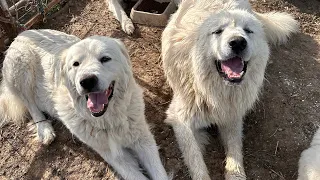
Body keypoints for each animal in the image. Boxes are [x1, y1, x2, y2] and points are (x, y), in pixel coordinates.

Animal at [0, 29, 170, 180]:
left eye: (105, 59)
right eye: (76, 64)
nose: (87, 81)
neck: (108, 120)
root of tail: (22, 33)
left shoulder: (143, 140)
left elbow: (159, 173)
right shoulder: (113, 155)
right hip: (20, 67)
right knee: (30, 104)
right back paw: (45, 129)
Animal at [161, 0, 298, 179]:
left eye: (248, 30)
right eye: (218, 31)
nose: (238, 42)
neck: (215, 92)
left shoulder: (232, 116)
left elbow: (235, 149)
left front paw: (235, 173)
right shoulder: (179, 119)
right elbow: (195, 158)